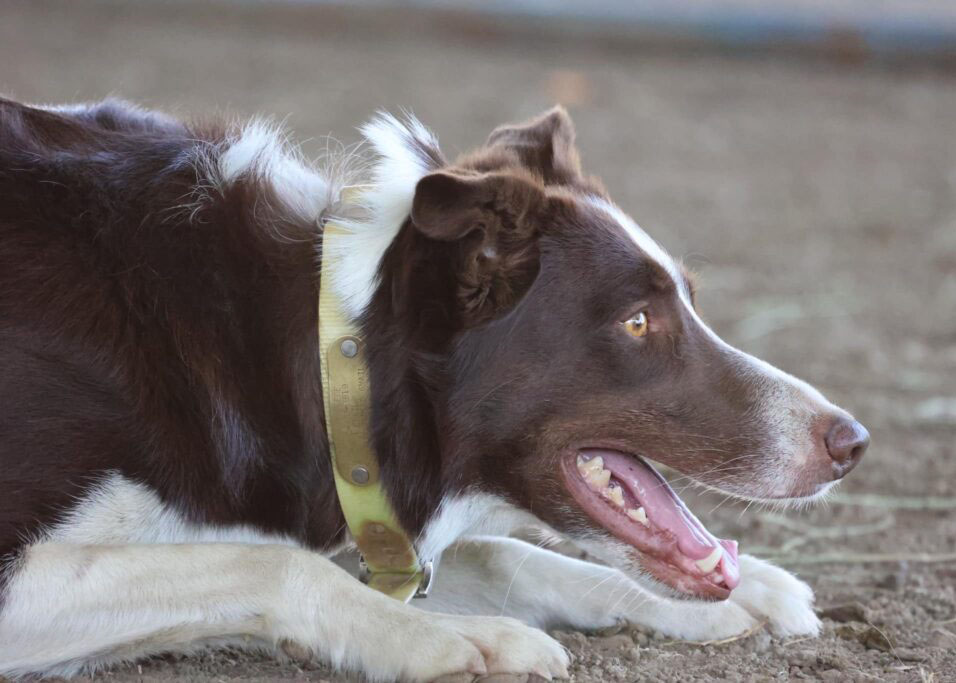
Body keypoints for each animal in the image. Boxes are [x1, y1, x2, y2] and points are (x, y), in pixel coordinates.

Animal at [0, 99, 868, 680]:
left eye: (687, 298)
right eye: (637, 321)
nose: (853, 442)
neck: (326, 351)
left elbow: (506, 552)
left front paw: (744, 592)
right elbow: (278, 564)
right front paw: (456, 639)